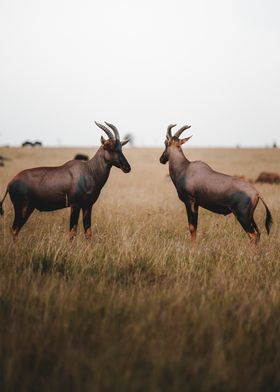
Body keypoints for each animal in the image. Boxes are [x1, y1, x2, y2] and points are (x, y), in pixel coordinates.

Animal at [0, 121, 131, 240]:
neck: (88, 170)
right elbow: (72, 232)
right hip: (23, 208)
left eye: (121, 148)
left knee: (15, 230)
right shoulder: (75, 205)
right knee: (14, 229)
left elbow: (88, 233)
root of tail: (10, 183)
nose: (127, 167)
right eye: (109, 147)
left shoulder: (88, 206)